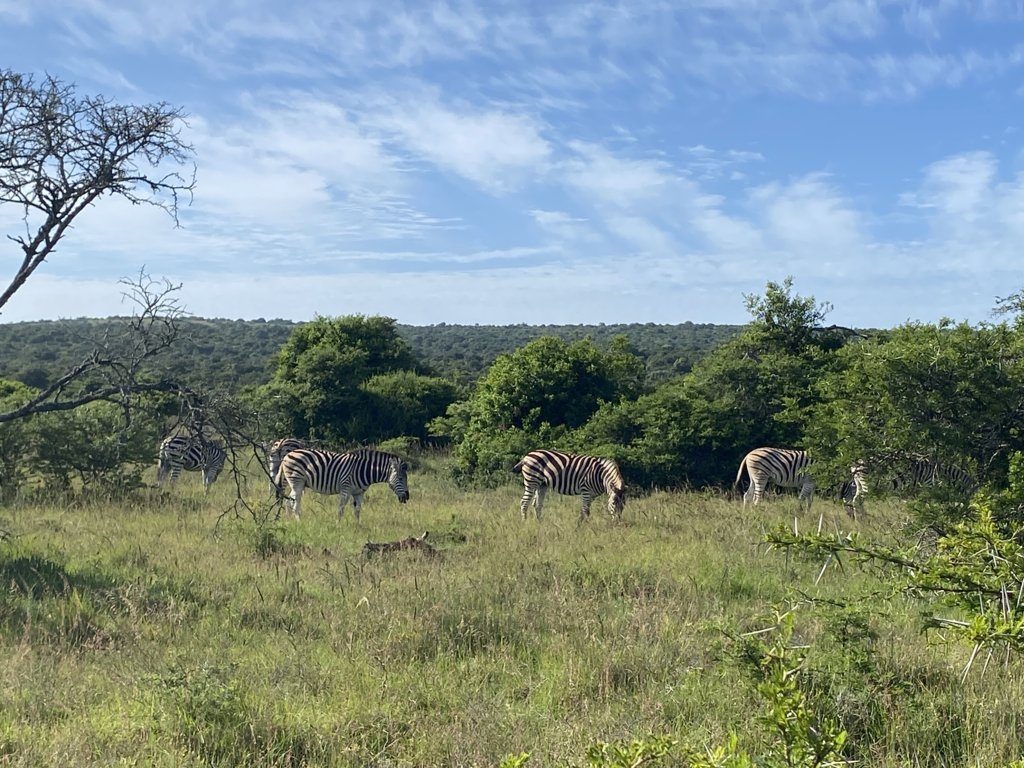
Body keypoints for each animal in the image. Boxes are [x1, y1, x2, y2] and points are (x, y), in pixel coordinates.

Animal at [278, 448, 413, 520]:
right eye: (401, 478)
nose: (407, 497)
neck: (364, 470)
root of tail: (288, 454)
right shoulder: (345, 489)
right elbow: (341, 509)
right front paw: (338, 525)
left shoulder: (359, 493)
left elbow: (357, 510)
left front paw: (357, 527)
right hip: (297, 481)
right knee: (295, 503)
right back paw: (299, 521)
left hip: (297, 483)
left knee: (289, 501)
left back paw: (289, 520)